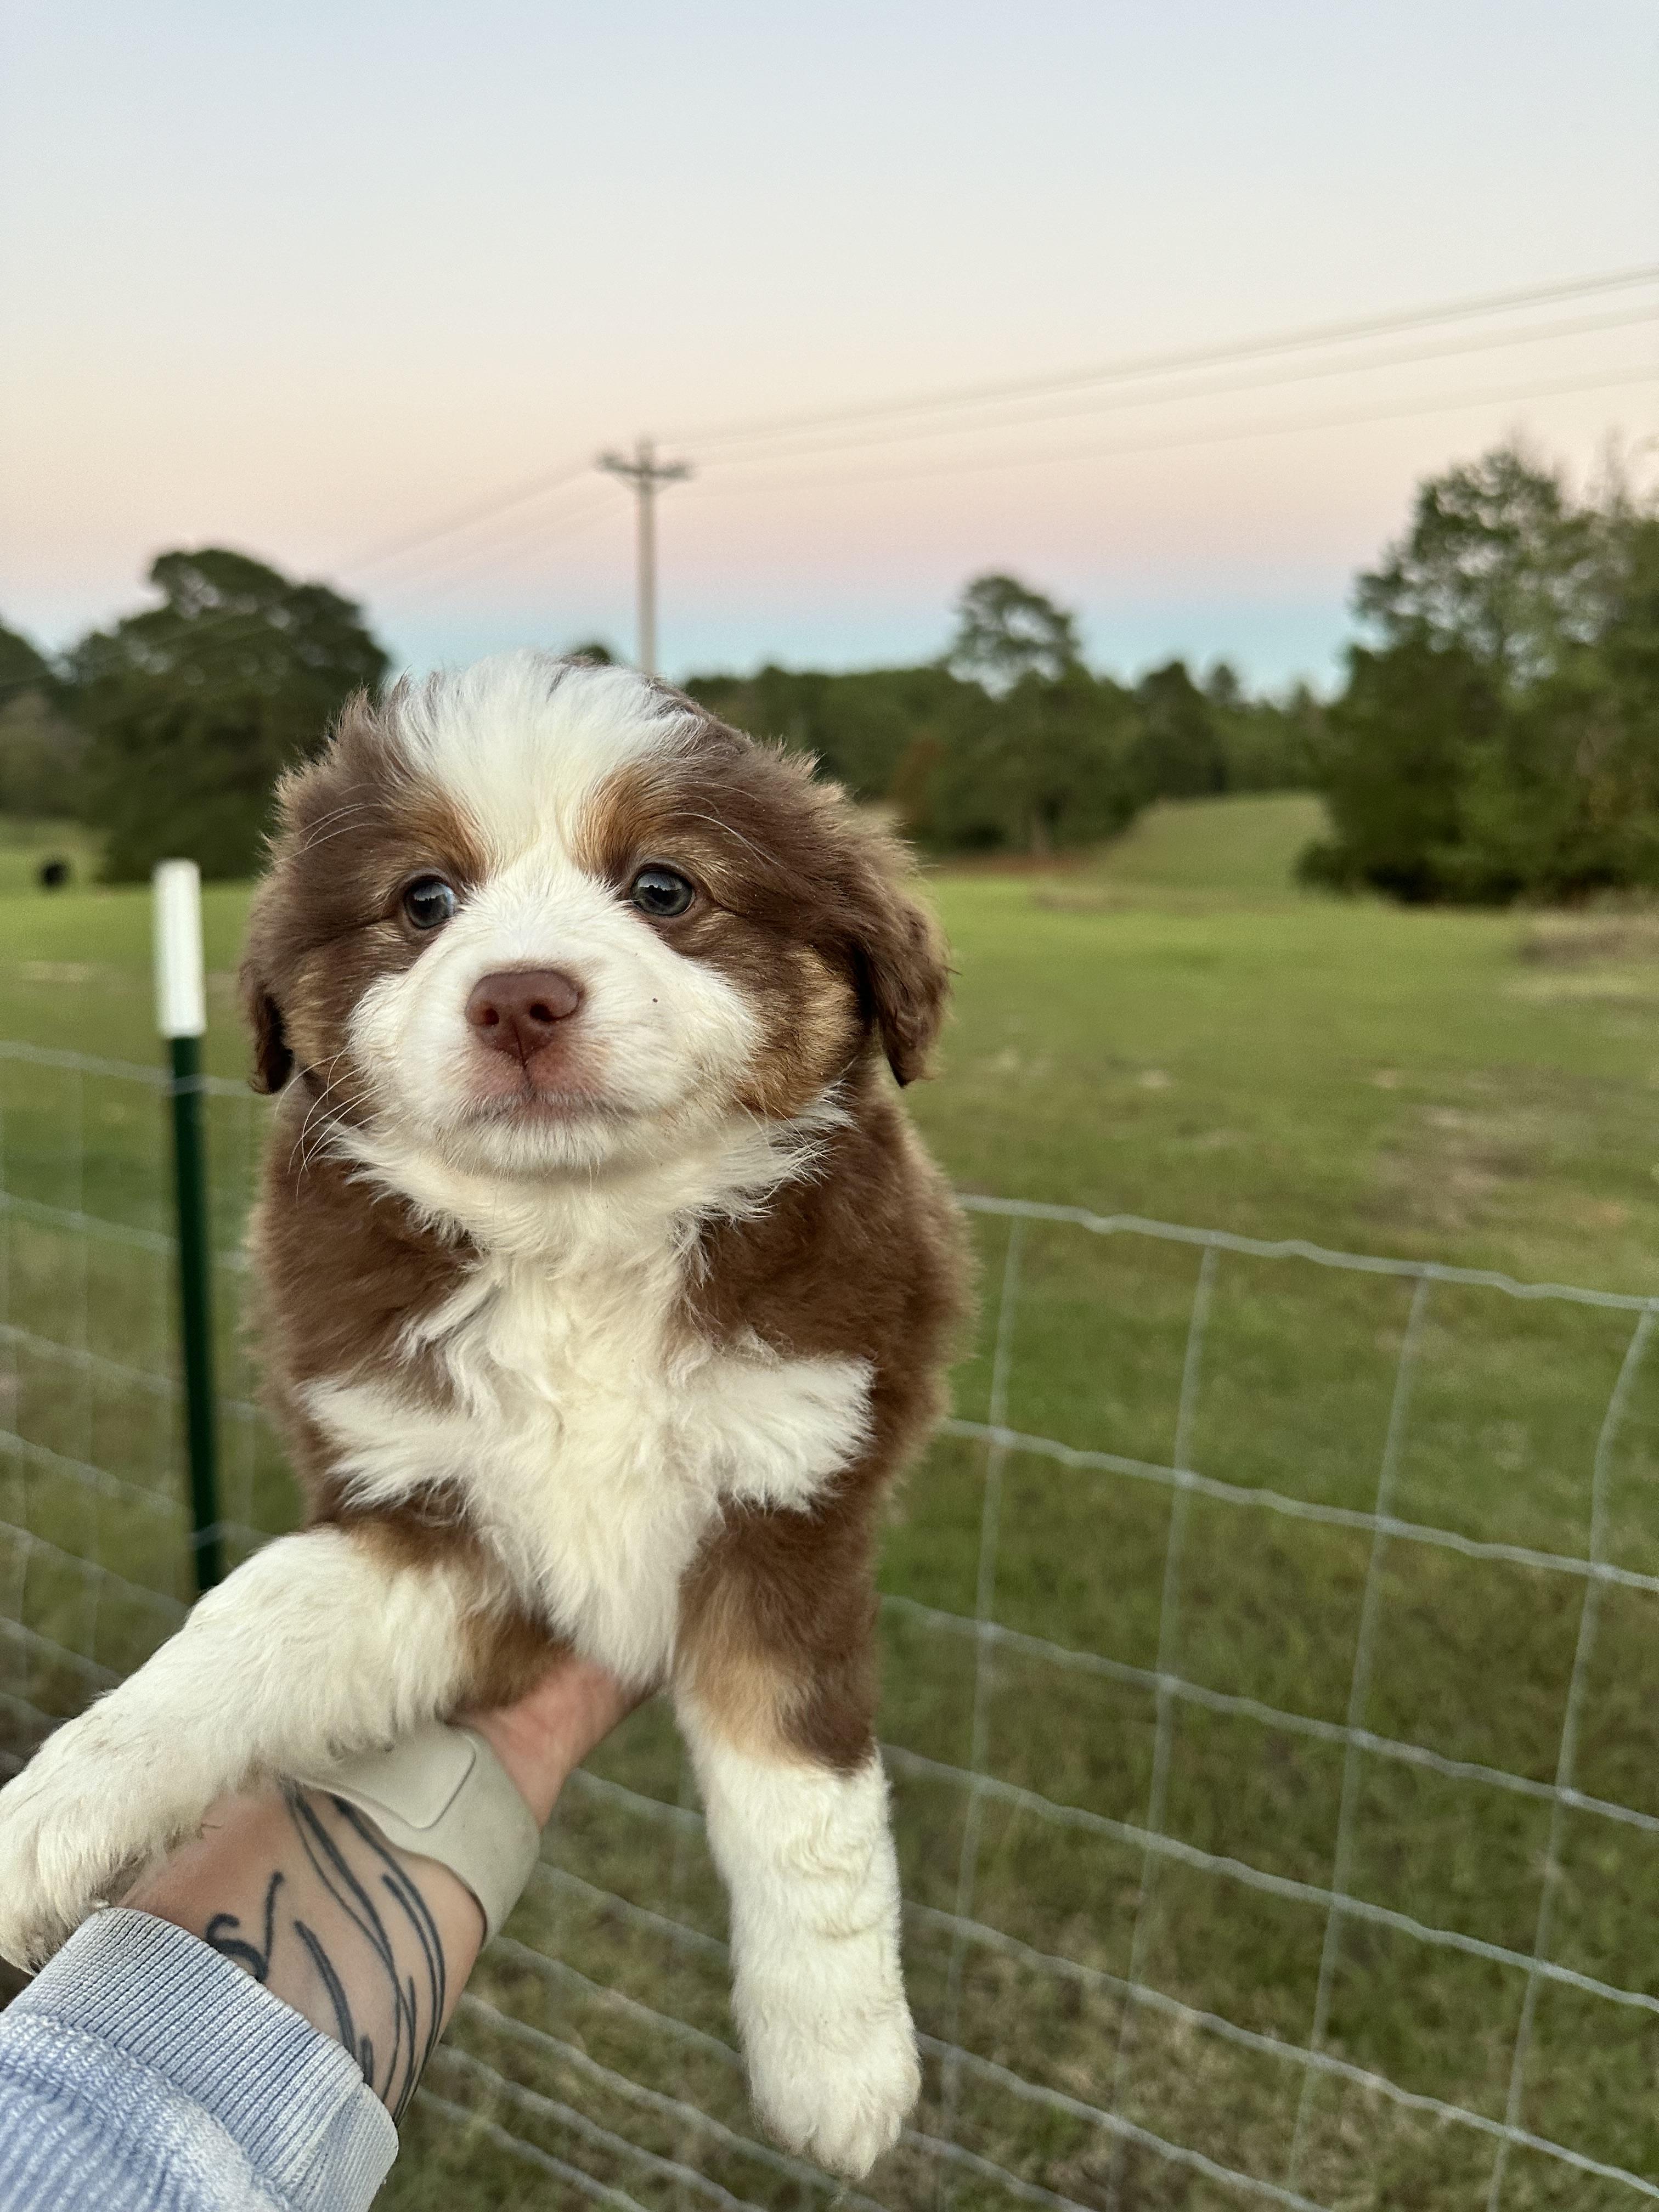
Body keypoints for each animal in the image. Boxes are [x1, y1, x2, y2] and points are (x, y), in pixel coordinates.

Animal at [0, 652, 966, 2177]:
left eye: (665, 888)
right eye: (422, 901)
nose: (521, 999)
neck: (576, 1241)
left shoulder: (792, 1490)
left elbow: (805, 1805)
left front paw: (842, 2067)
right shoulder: (433, 1517)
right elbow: (244, 1626)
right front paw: (46, 1822)